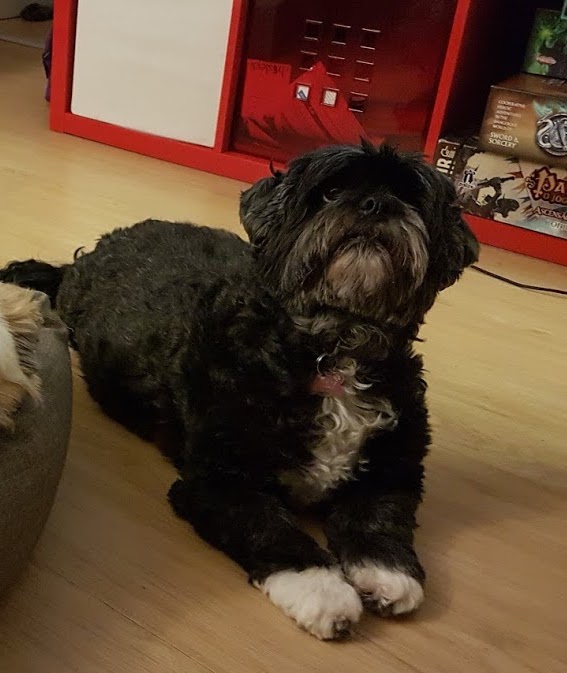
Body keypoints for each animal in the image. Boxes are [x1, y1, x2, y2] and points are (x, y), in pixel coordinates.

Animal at [0, 142, 478, 639]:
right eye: (330, 192)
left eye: (409, 197)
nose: (374, 205)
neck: (332, 349)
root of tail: (88, 255)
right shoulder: (217, 483)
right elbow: (272, 529)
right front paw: (324, 591)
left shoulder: (394, 469)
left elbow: (380, 515)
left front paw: (388, 571)